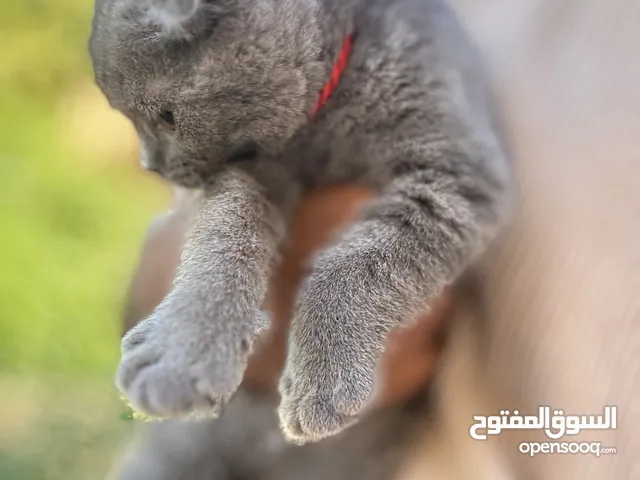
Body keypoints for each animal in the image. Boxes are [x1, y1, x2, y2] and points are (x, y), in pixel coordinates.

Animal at [90, 0, 512, 444]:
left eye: (167, 117)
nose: (150, 166)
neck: (325, 123)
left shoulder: (457, 176)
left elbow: (354, 265)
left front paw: (324, 381)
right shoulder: (255, 170)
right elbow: (224, 234)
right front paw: (183, 353)